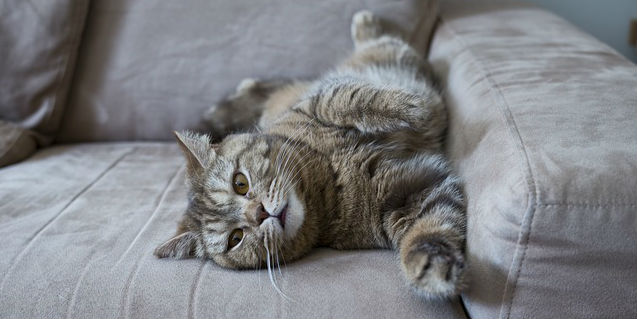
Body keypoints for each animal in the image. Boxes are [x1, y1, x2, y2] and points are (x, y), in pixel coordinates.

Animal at [158, 10, 468, 300]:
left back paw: (364, 24)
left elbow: (351, 99)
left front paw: (411, 108)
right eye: (236, 238)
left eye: (240, 183)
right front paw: (431, 270)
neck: (326, 178)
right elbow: (431, 228)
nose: (260, 213)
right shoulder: (407, 196)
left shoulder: (316, 103)